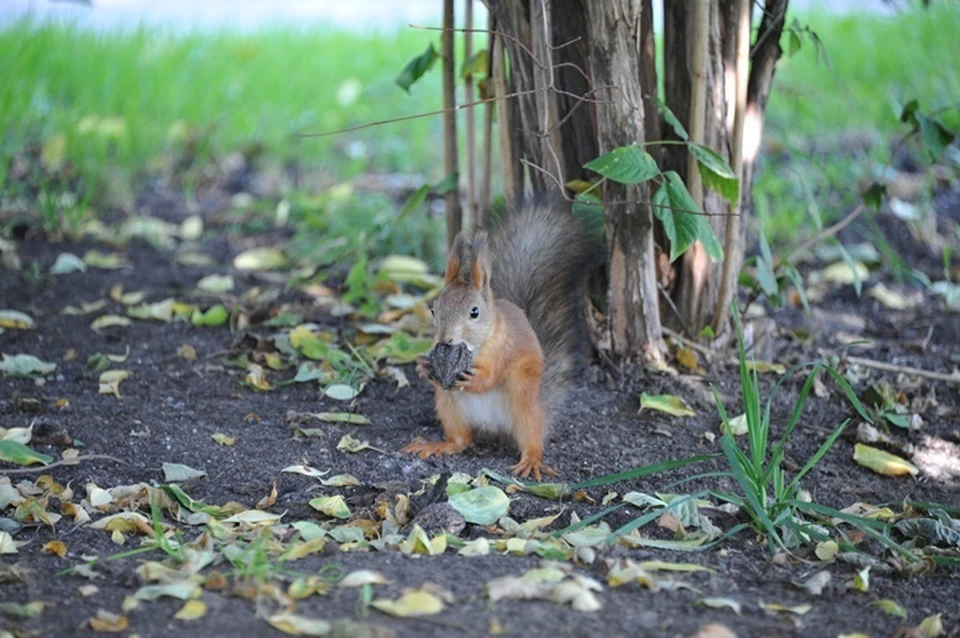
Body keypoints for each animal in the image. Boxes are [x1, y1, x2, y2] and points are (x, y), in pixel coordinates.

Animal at [404, 200, 600, 480]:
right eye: (434, 309)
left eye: (474, 312)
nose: (446, 339)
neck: (476, 345)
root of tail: (492, 427)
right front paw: (423, 366)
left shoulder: (503, 350)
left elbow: (490, 377)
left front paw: (473, 379)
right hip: (448, 405)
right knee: (461, 440)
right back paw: (438, 445)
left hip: (524, 406)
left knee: (531, 437)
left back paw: (532, 461)